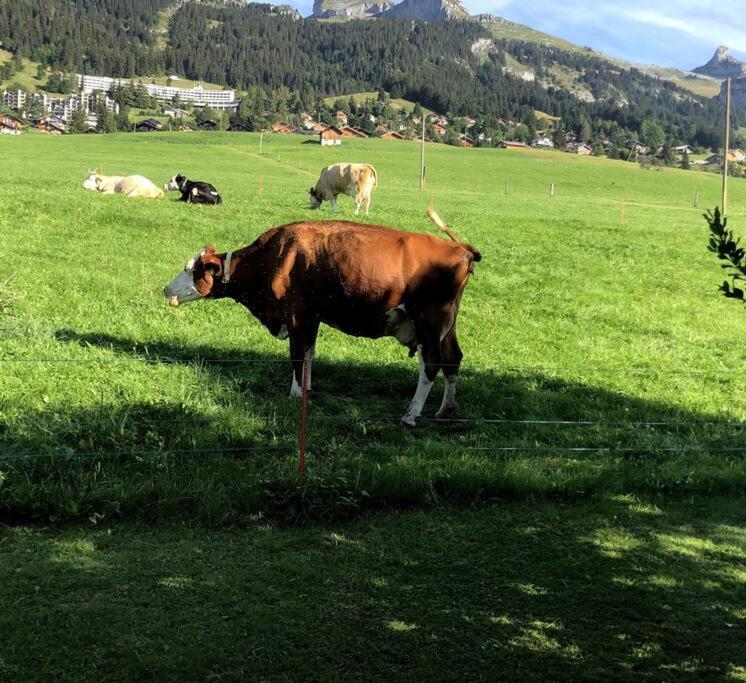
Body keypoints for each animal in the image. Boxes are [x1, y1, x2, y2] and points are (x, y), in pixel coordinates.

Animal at [163, 212, 480, 428]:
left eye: (192, 270)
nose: (166, 288)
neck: (277, 254)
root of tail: (460, 248)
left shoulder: (295, 314)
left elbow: (297, 355)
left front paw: (295, 394)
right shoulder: (311, 317)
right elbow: (309, 353)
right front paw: (306, 387)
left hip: (429, 323)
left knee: (431, 366)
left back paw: (411, 414)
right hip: (447, 326)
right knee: (453, 360)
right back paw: (446, 409)